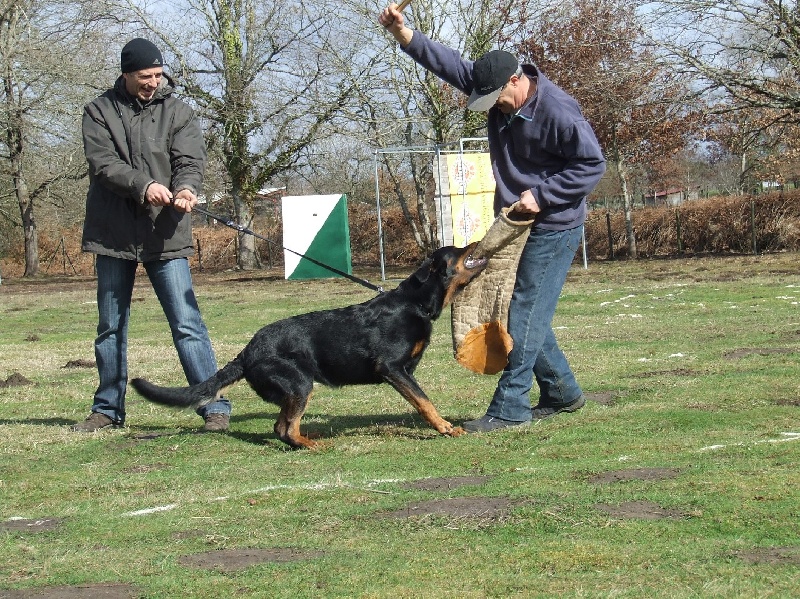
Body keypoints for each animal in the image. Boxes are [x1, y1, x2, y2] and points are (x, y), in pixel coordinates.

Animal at [130, 245, 488, 450]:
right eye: (457, 250)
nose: (476, 241)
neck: (416, 303)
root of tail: (247, 351)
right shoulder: (392, 369)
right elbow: (425, 402)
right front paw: (446, 428)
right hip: (300, 384)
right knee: (284, 428)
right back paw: (314, 445)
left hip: (297, 388)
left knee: (283, 427)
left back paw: (307, 442)